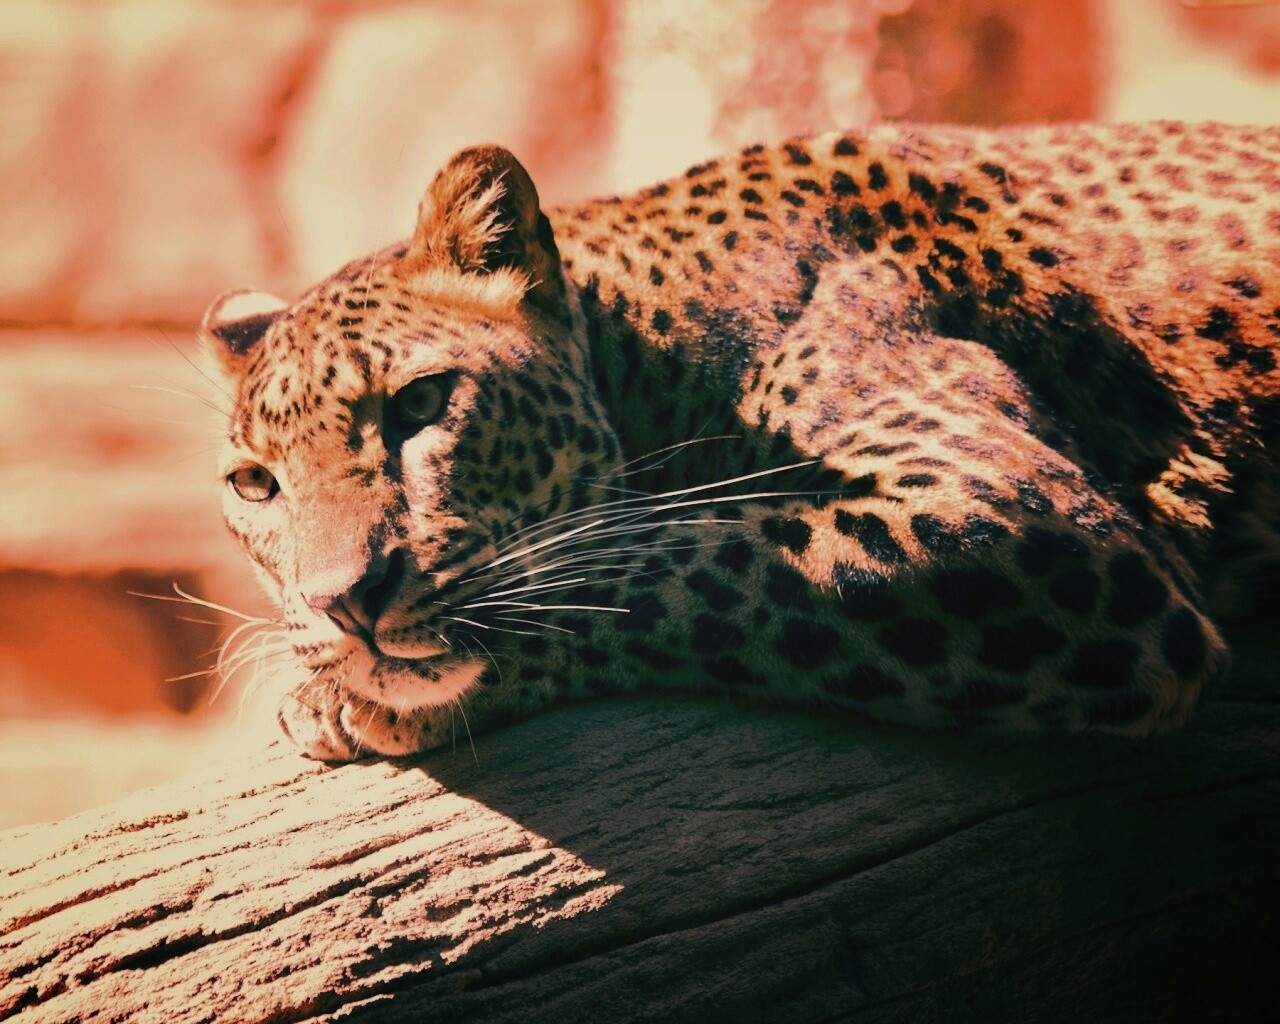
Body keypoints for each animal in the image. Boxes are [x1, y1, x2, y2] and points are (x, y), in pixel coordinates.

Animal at [200, 122, 1280, 763]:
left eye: (420, 404)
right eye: (254, 485)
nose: (346, 603)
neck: (649, 346)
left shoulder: (1017, 512)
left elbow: (688, 561)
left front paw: (347, 695)